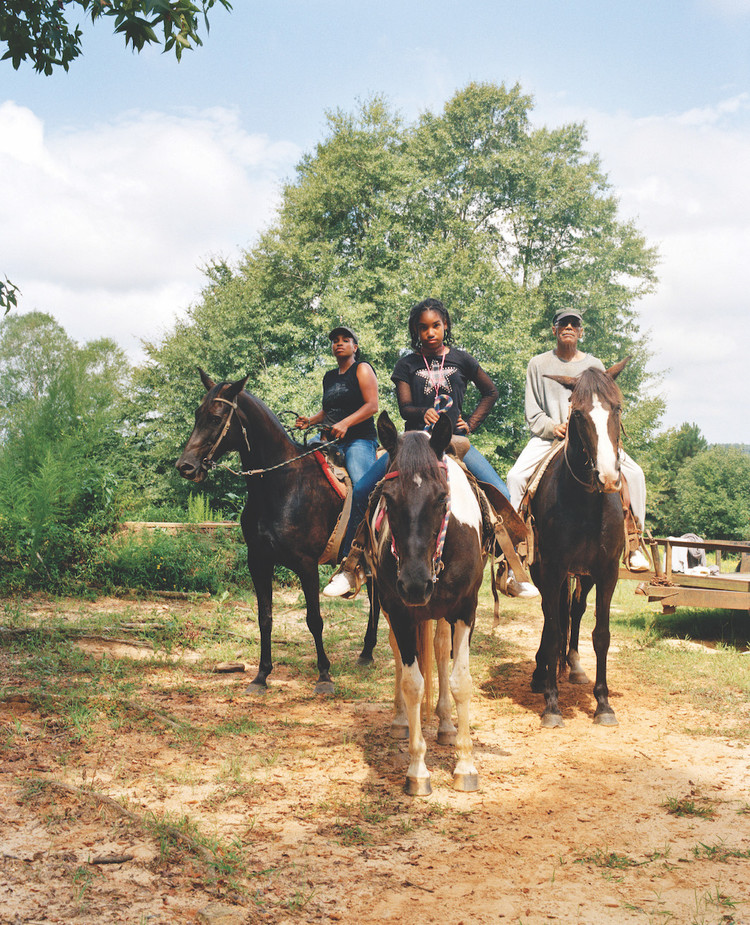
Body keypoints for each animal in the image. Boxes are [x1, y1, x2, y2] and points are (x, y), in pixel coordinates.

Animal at [176, 368, 376, 692]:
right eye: (197, 414)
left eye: (216, 418)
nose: (186, 466)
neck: (283, 484)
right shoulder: (258, 562)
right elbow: (264, 617)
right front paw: (261, 675)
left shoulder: (306, 565)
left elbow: (314, 619)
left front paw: (324, 675)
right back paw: (367, 652)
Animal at [372, 412, 488, 796]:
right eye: (388, 499)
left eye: (441, 498)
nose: (414, 583)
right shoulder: (400, 612)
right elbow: (413, 683)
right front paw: (417, 771)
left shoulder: (466, 610)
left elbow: (460, 681)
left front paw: (465, 765)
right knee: (400, 653)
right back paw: (401, 721)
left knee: (438, 649)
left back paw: (447, 726)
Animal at [532, 360, 632, 728]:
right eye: (577, 414)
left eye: (616, 408)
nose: (608, 476)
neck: (586, 503)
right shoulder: (552, 568)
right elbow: (552, 626)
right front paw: (552, 704)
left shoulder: (606, 572)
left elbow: (601, 635)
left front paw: (603, 704)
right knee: (552, 616)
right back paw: (543, 672)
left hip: (583, 576)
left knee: (572, 611)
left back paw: (571, 665)